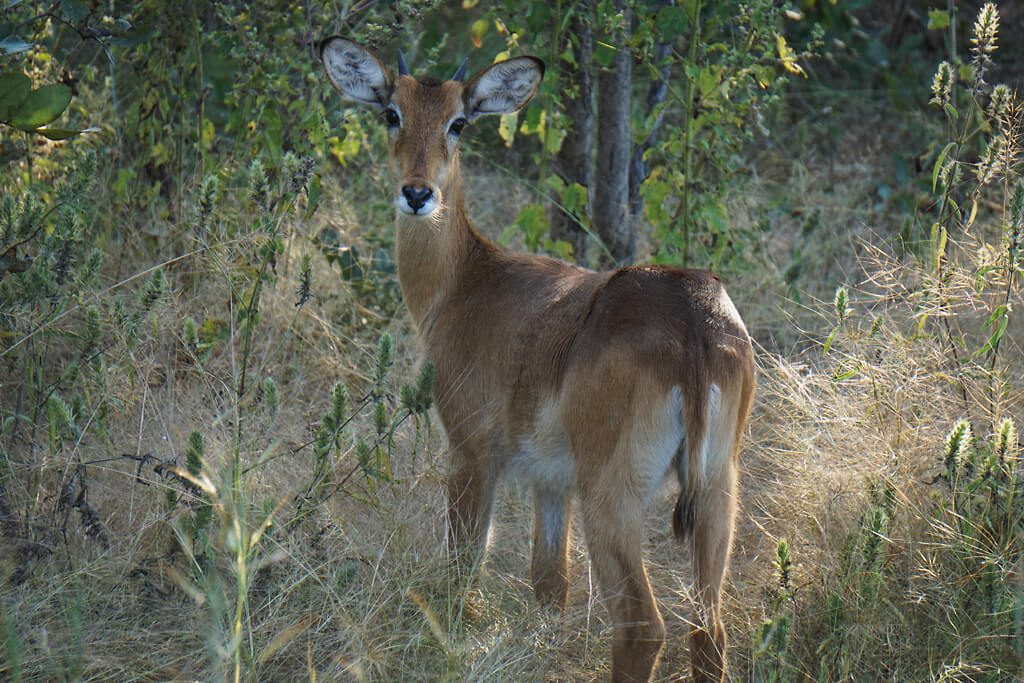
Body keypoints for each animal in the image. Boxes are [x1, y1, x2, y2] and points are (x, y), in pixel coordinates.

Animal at [323, 38, 757, 683]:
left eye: (458, 121)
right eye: (391, 113)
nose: (418, 193)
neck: (467, 283)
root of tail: (694, 325)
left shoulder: (473, 452)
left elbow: (461, 570)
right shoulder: (552, 484)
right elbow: (550, 584)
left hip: (615, 496)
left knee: (642, 626)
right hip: (715, 489)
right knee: (710, 629)